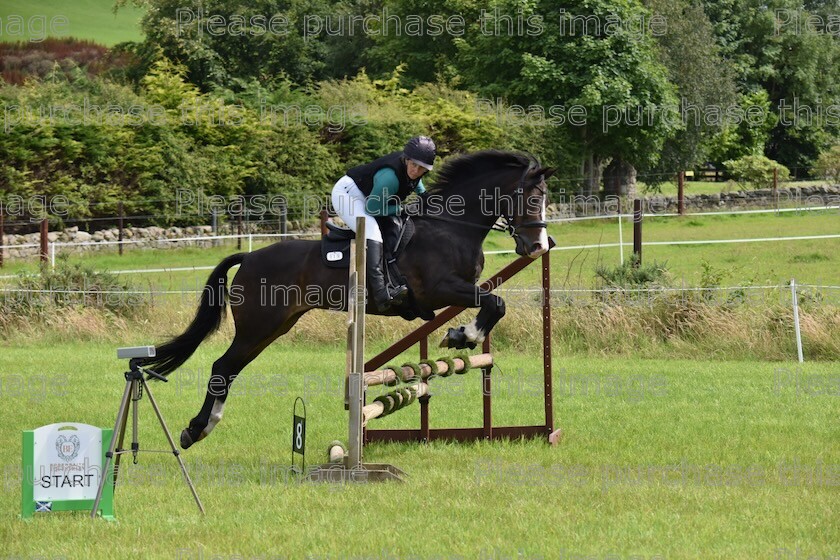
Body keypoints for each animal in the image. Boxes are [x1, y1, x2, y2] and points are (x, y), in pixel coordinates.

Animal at [137, 149, 556, 446]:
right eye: (530, 198)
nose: (538, 246)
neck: (450, 228)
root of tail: (250, 257)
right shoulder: (439, 289)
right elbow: (494, 303)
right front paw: (463, 336)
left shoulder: (459, 290)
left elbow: (494, 305)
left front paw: (460, 335)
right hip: (258, 325)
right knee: (222, 367)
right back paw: (196, 430)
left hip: (274, 327)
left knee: (231, 368)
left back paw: (201, 427)